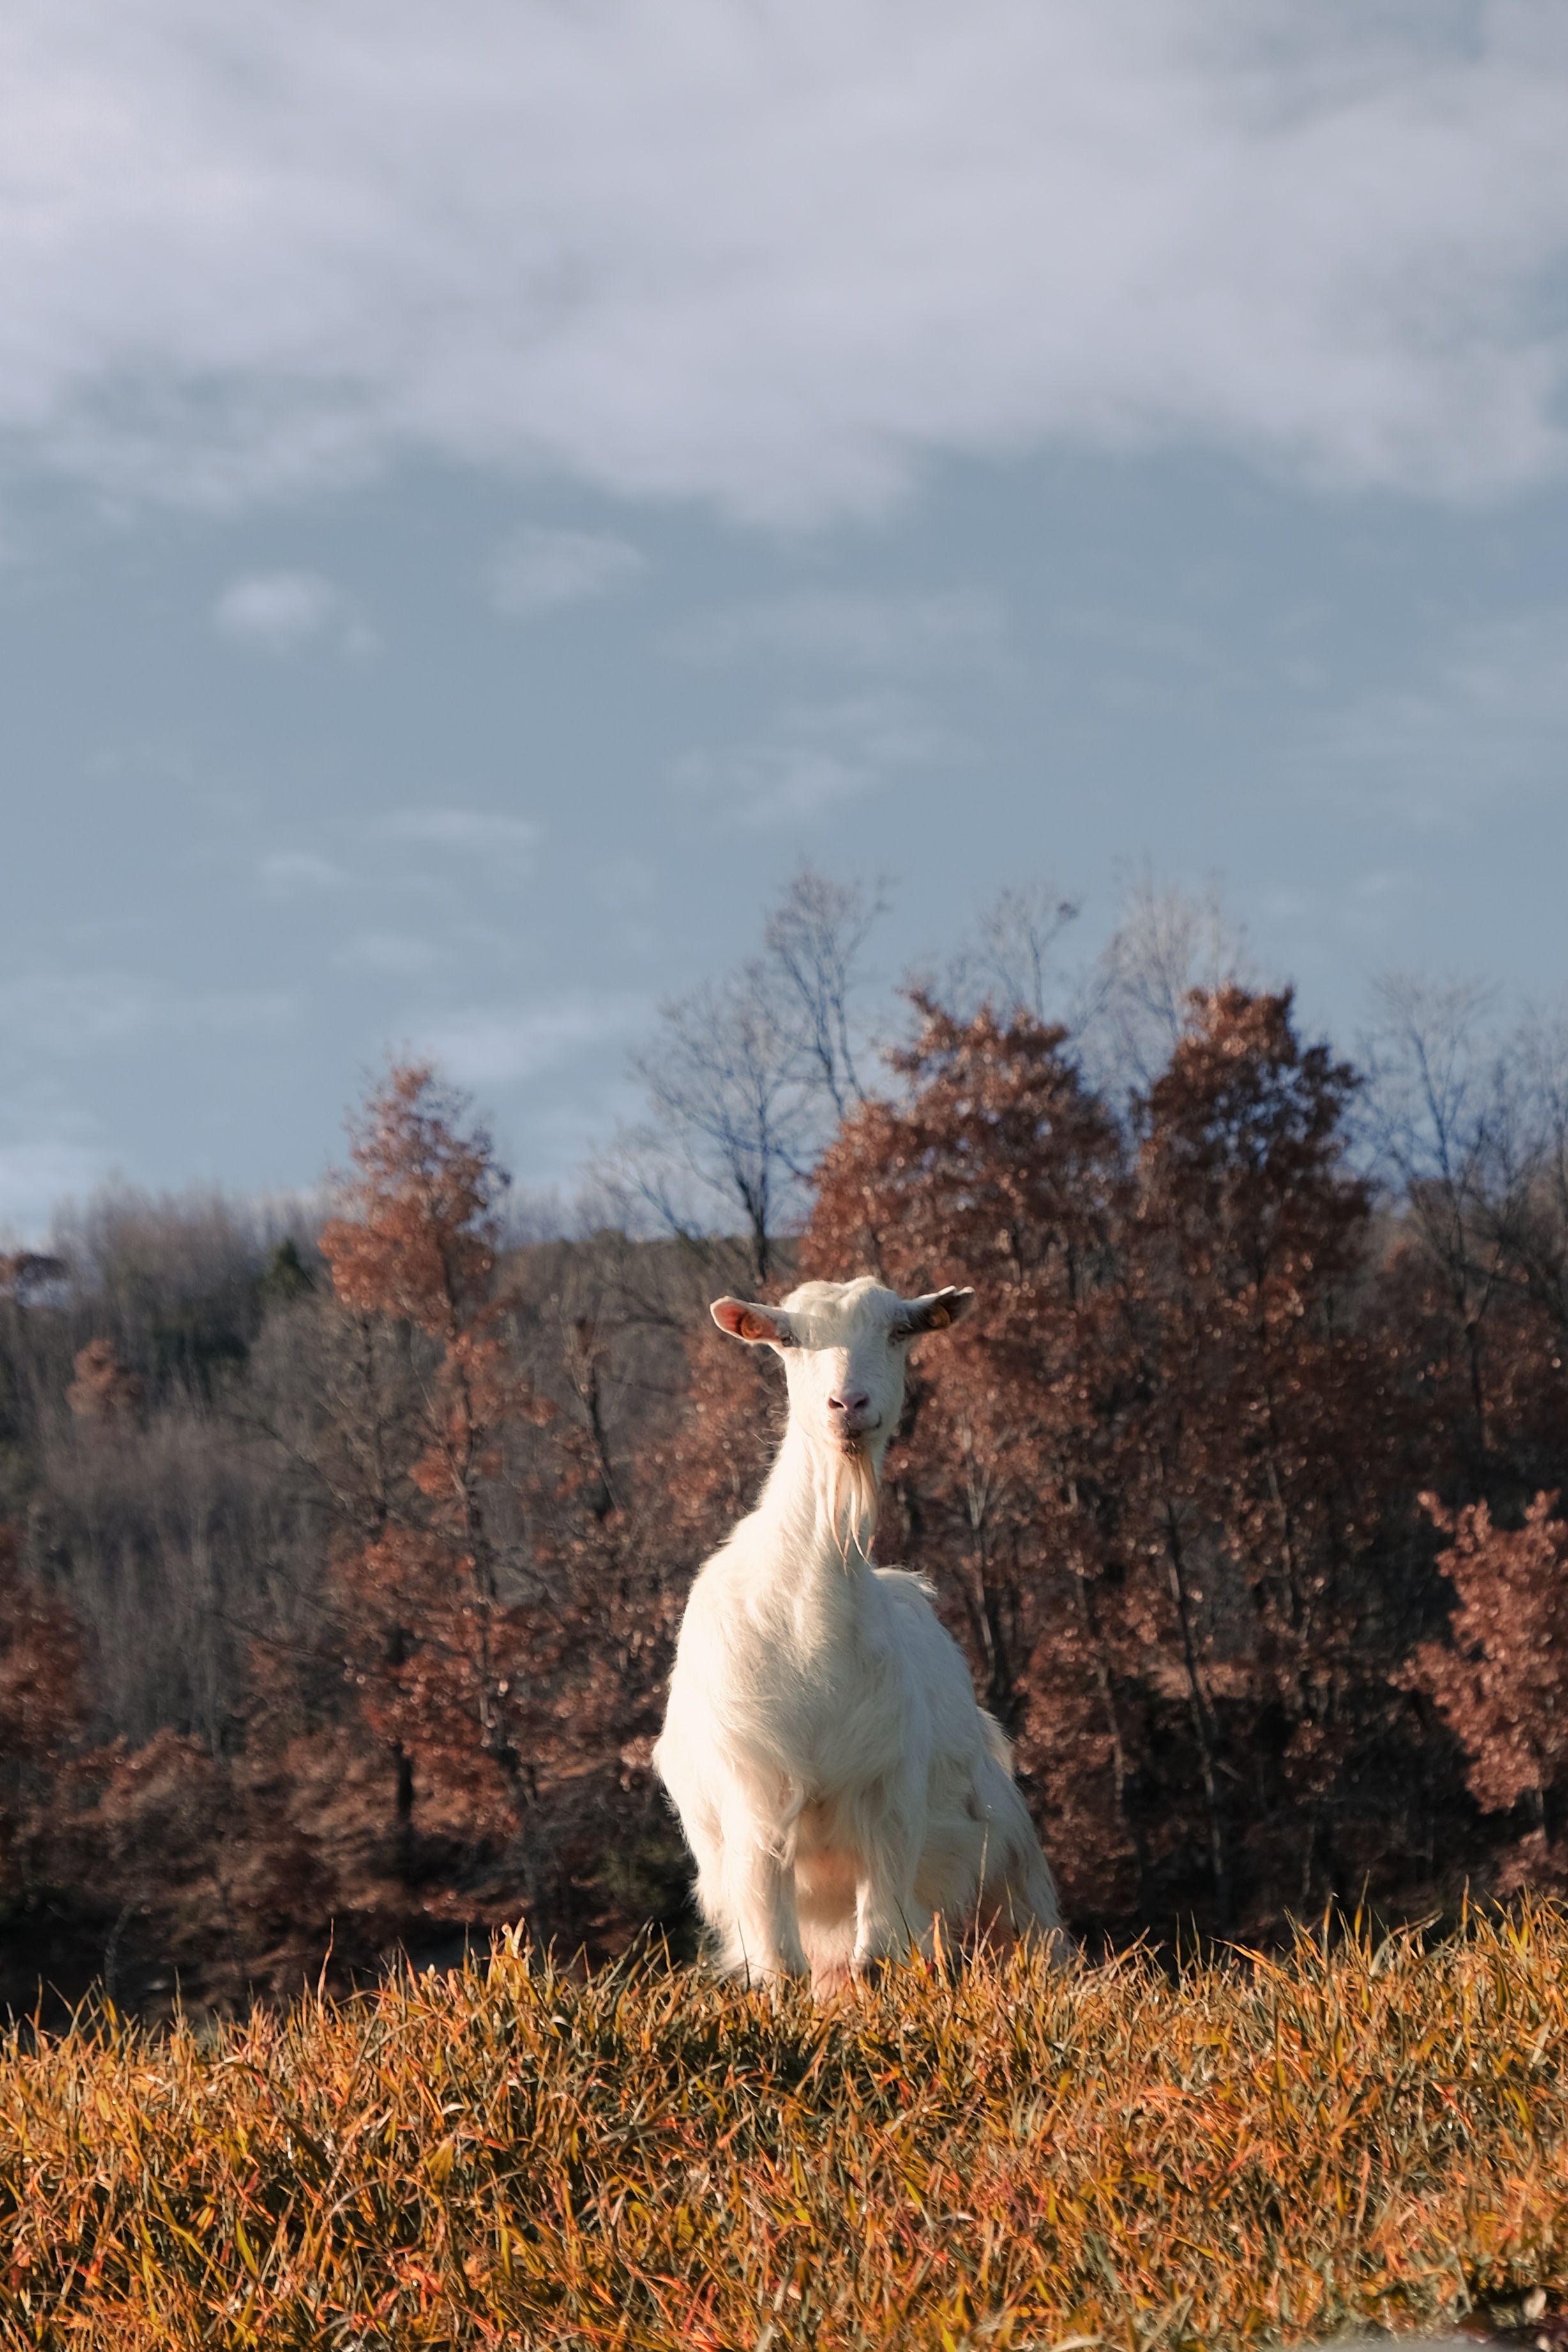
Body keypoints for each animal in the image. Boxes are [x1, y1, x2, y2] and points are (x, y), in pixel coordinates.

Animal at [654, 1276, 1066, 1994]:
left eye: (899, 1330)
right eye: (789, 1338)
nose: (847, 1403)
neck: (807, 1610)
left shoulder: (888, 1803)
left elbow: (877, 1959)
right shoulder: (755, 1806)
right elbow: (778, 1969)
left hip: (1004, 1860)